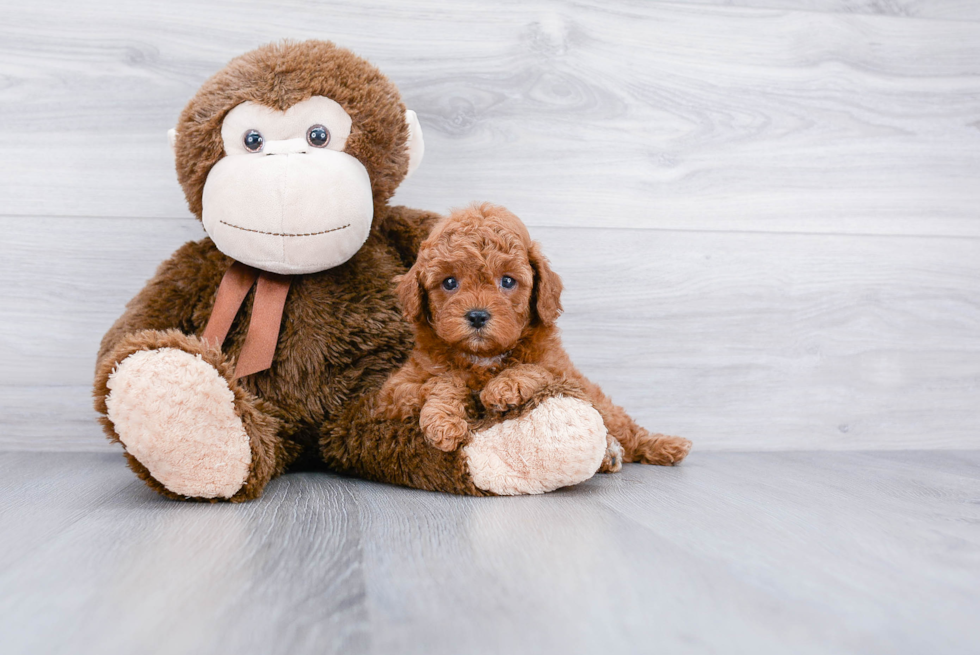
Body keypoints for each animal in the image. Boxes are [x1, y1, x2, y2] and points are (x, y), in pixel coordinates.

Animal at [376, 202, 688, 474]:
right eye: (449, 282)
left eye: (507, 281)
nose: (477, 316)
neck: (483, 358)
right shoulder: (394, 393)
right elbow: (443, 380)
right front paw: (444, 423)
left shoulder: (563, 373)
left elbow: (534, 369)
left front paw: (503, 387)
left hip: (605, 408)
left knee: (628, 430)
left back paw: (665, 446)